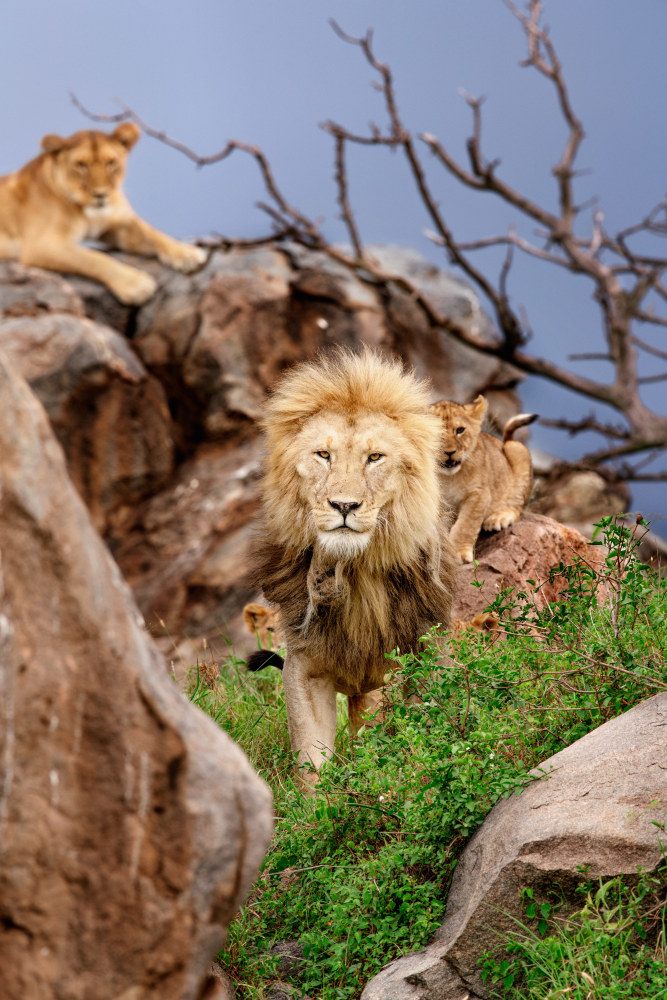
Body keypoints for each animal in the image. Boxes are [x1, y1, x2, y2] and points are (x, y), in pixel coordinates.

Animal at [0, 122, 206, 300]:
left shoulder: (119, 225)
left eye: (111, 163)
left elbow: (153, 233)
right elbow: (91, 258)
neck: (86, 213)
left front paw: (187, 253)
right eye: (81, 165)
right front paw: (135, 284)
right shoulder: (42, 244)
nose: (101, 194)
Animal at [253, 350, 456, 788]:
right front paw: (316, 806)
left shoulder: (416, 657)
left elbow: (416, 744)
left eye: (374, 457)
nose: (344, 506)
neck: (354, 575)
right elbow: (310, 761)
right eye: (323, 455)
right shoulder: (304, 666)